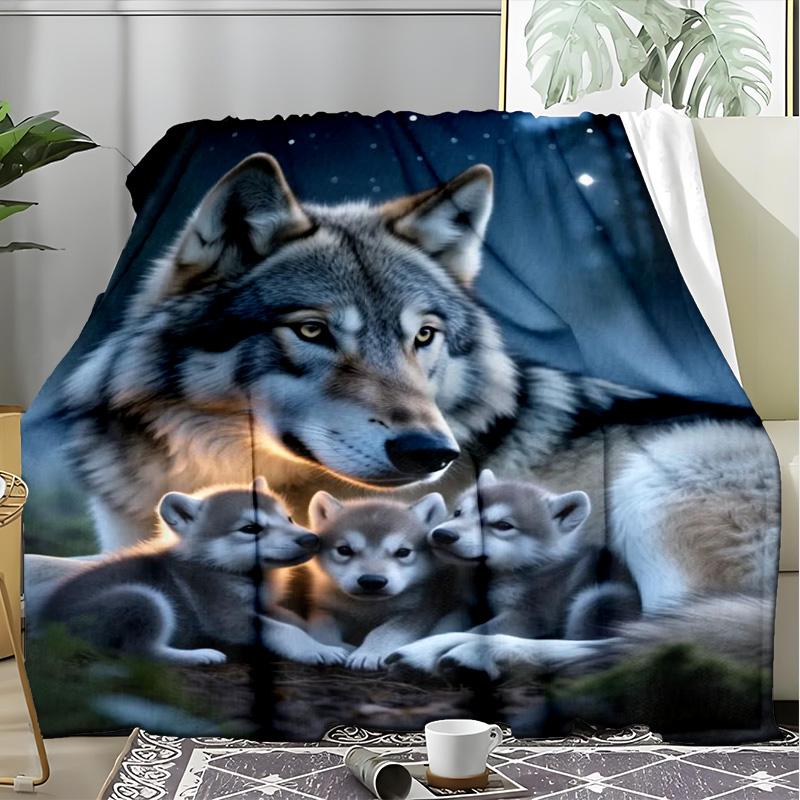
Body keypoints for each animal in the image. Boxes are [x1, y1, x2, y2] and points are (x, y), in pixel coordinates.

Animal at [36, 478, 350, 666]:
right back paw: (199, 655)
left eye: (288, 518)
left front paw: (330, 639)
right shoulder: (225, 616)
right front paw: (317, 649)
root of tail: (47, 628)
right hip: (141, 599)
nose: (311, 539)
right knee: (140, 653)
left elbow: (293, 619)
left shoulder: (264, 605)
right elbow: (284, 629)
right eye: (250, 528)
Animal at [304, 491, 466, 671]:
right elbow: (322, 630)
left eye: (403, 552)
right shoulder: (326, 608)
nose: (372, 581)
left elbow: (385, 631)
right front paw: (332, 649)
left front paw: (368, 654)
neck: (368, 608)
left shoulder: (419, 609)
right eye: (344, 550)